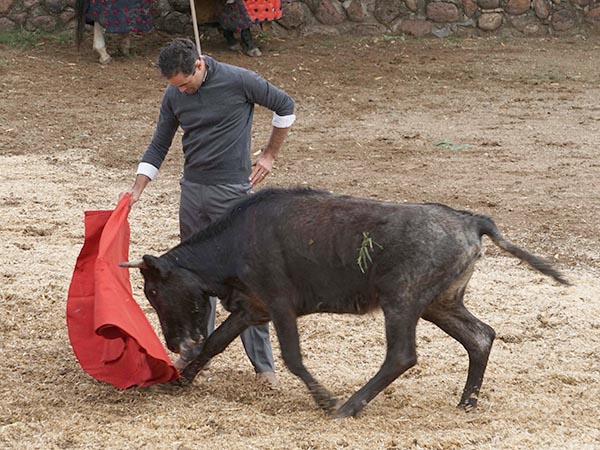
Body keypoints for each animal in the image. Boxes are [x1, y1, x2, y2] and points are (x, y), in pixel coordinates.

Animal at [120, 187, 568, 418]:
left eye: (153, 292)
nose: (174, 344)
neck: (234, 244)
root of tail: (471, 220)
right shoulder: (251, 307)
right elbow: (215, 343)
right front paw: (181, 378)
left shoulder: (279, 304)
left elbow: (292, 357)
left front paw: (325, 399)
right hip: (440, 303)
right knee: (480, 336)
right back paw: (467, 402)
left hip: (403, 300)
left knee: (402, 355)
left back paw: (349, 406)